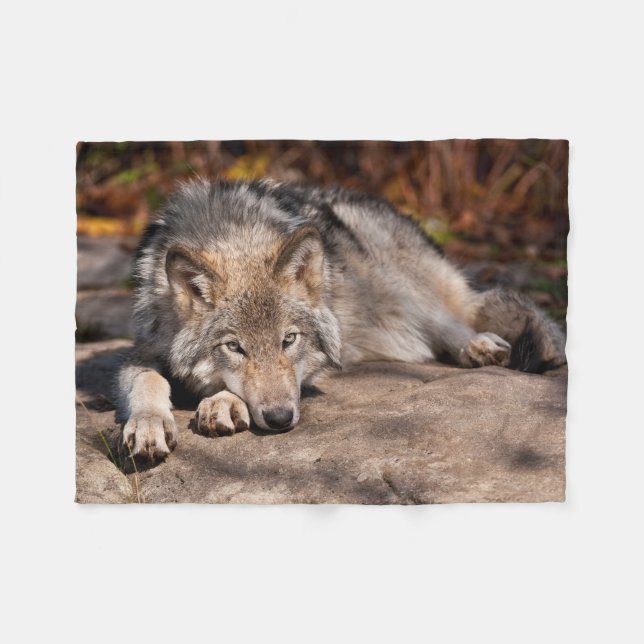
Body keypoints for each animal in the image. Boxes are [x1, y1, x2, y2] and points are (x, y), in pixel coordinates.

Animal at [117, 179, 566, 462]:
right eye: (234, 347)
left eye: (289, 340)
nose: (280, 420)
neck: (232, 233)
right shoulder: (142, 348)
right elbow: (147, 380)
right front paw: (149, 424)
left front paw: (222, 402)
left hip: (397, 288)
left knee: (452, 318)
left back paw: (478, 346)